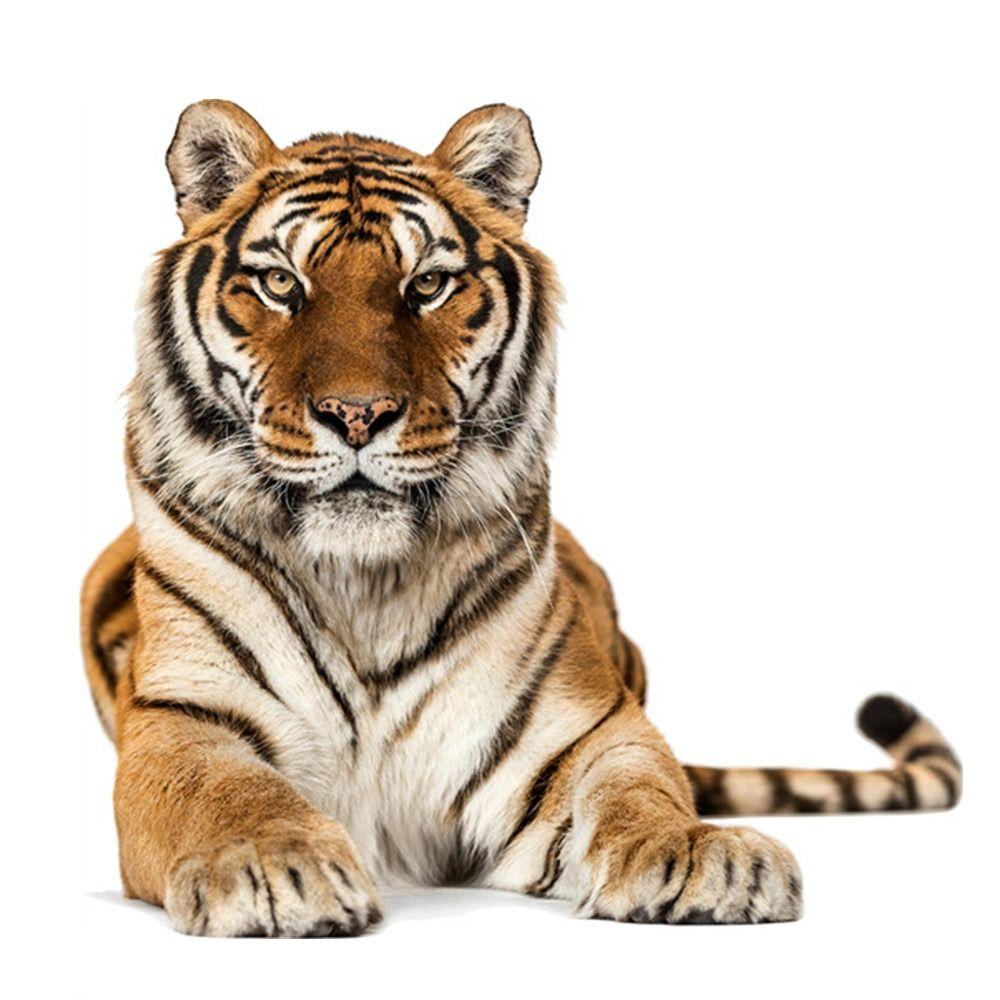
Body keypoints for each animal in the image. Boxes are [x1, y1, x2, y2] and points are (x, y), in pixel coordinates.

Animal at [81, 100, 962, 937]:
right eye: (280, 284)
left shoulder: (583, 729)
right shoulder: (183, 719)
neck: (364, 585)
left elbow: (642, 787)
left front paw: (700, 855)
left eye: (426, 286)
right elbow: (223, 791)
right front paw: (270, 864)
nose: (358, 414)